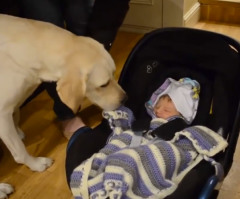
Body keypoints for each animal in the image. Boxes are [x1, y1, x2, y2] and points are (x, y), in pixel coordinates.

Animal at [0, 14, 126, 197]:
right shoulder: (2, 114)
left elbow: (16, 115)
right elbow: (19, 150)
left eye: (114, 73)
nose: (126, 98)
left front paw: (17, 131)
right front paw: (35, 164)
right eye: (103, 85)